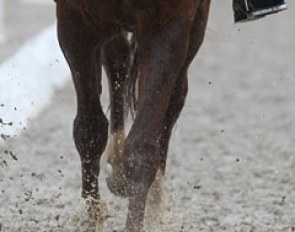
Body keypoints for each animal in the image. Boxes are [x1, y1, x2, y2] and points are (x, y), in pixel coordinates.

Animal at [55, 0, 212, 231]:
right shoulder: (74, 21)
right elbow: (89, 131)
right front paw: (92, 219)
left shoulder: (170, 26)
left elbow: (142, 148)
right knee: (117, 59)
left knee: (175, 97)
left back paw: (153, 207)